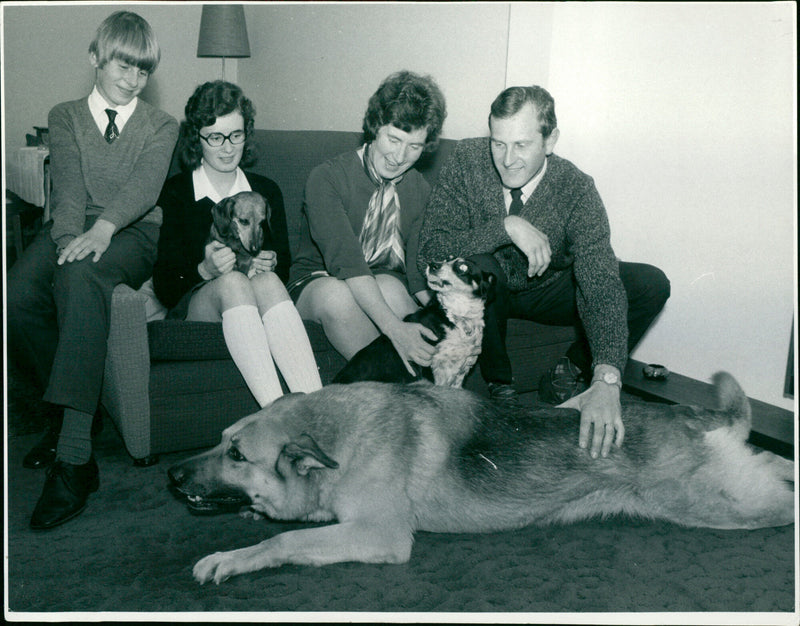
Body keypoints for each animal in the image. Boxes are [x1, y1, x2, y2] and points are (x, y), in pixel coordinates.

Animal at [170, 370, 792, 580]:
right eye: (221, 442)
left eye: (237, 455)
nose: (172, 474)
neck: (340, 438)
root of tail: (692, 415)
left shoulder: (379, 535)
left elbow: (284, 541)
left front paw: (230, 558)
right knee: (771, 463)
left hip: (719, 506)